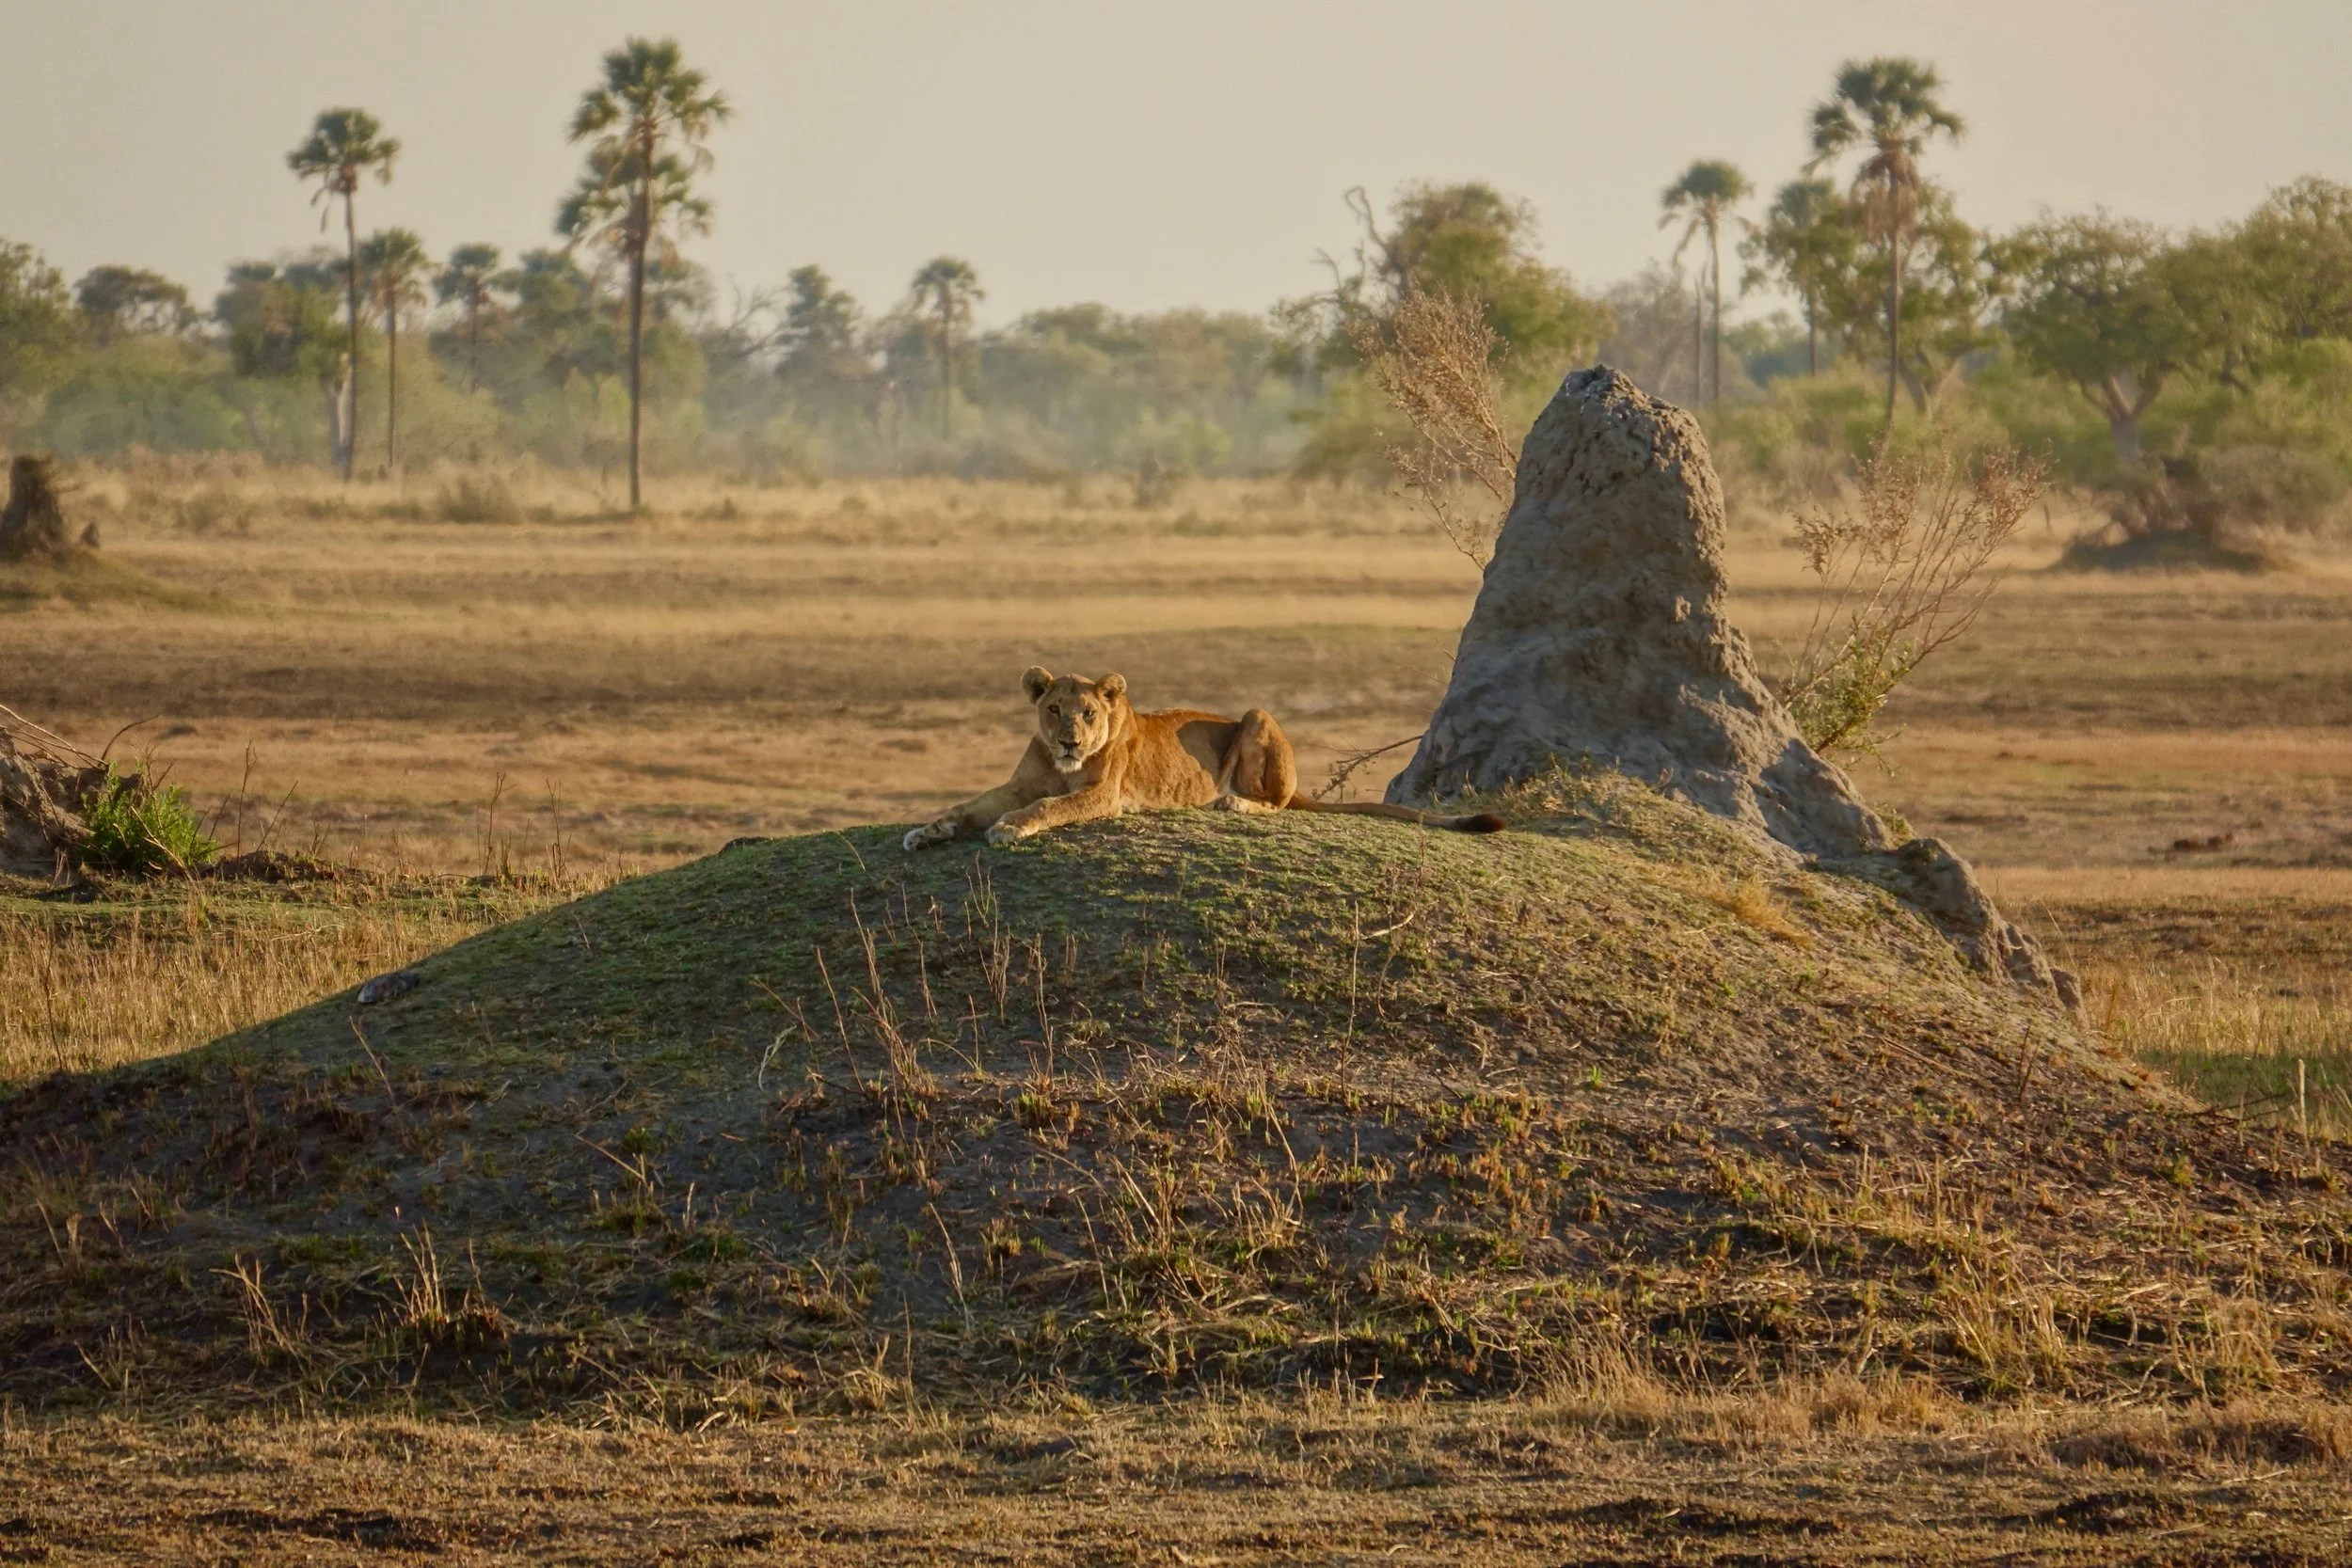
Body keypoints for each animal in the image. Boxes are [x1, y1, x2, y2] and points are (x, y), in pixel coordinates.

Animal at [901, 667, 1506, 851]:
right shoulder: (1018, 784)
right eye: (1053, 710)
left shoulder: (1103, 795)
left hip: (1256, 714)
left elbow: (1048, 808)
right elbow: (970, 804)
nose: (1071, 740)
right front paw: (928, 830)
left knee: (1277, 804)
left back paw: (1232, 804)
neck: (1060, 767)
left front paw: (1009, 828)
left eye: (1089, 713)